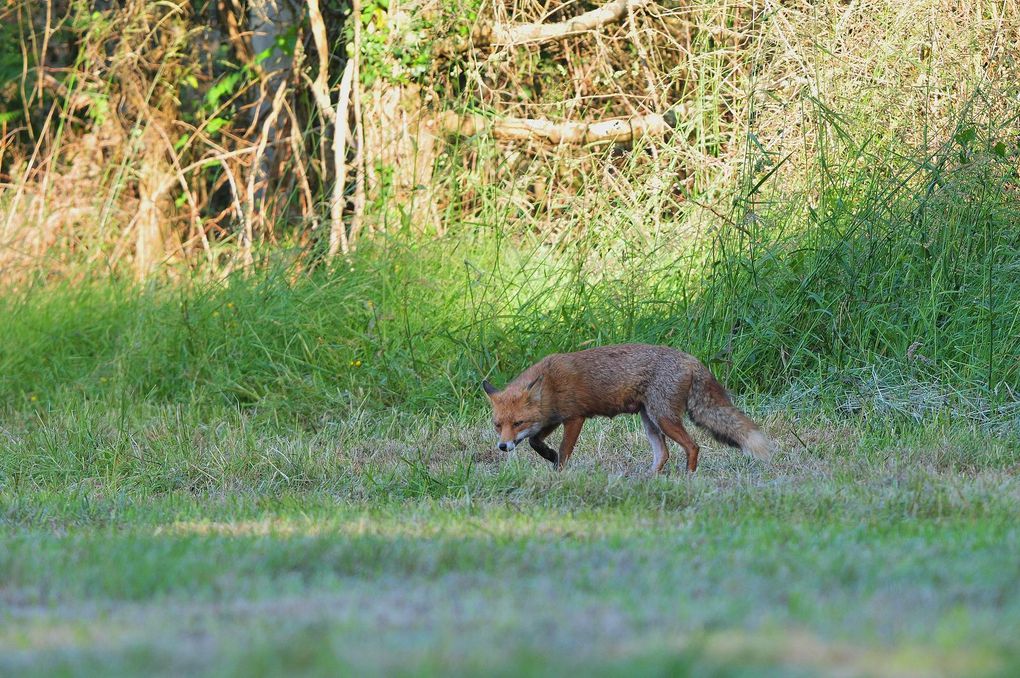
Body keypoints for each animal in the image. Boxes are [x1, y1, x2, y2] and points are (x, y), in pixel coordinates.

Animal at [483, 344, 771, 471]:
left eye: (517, 423)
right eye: (498, 425)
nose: (503, 446)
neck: (551, 385)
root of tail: (691, 359)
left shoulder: (575, 418)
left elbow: (564, 451)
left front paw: (558, 469)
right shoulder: (551, 420)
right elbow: (535, 442)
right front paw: (549, 456)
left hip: (663, 418)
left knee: (692, 446)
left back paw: (688, 477)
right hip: (650, 422)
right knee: (663, 454)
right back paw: (649, 480)